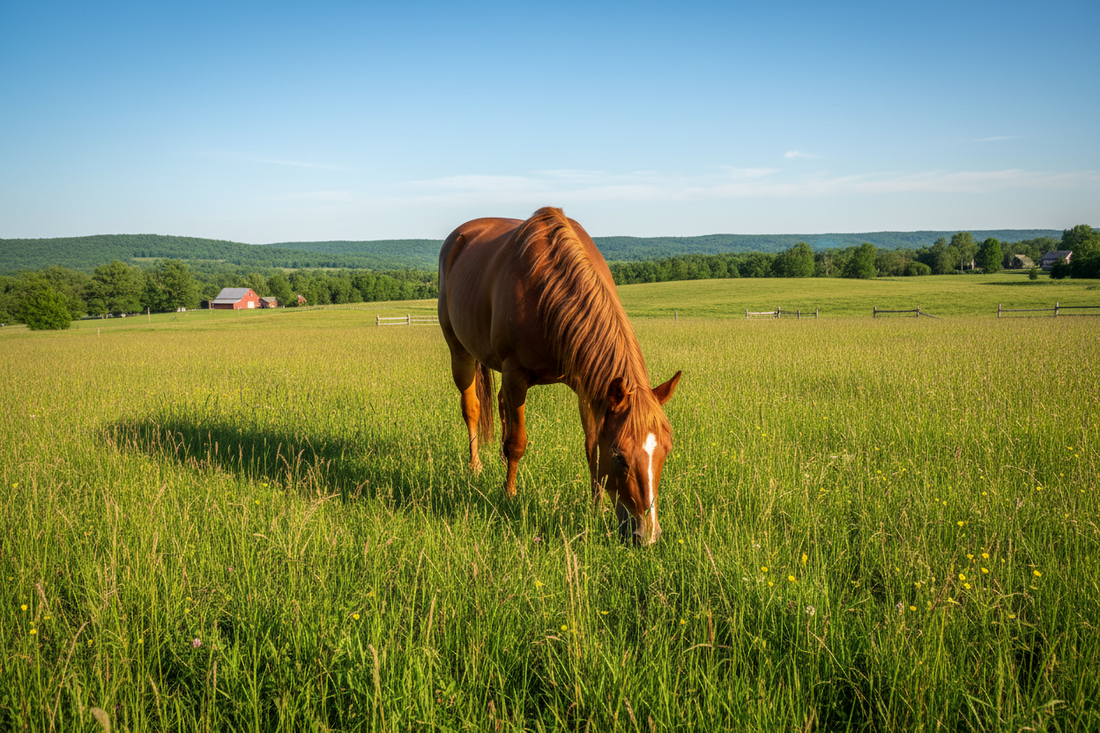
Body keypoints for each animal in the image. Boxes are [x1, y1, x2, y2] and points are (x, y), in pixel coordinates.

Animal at [437, 207, 681, 544]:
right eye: (620, 456)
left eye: (666, 451)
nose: (646, 535)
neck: (545, 290)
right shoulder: (515, 375)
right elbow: (518, 442)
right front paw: (509, 497)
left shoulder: (587, 386)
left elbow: (591, 447)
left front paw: (596, 507)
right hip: (460, 352)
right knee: (471, 408)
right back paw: (476, 467)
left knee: (499, 404)